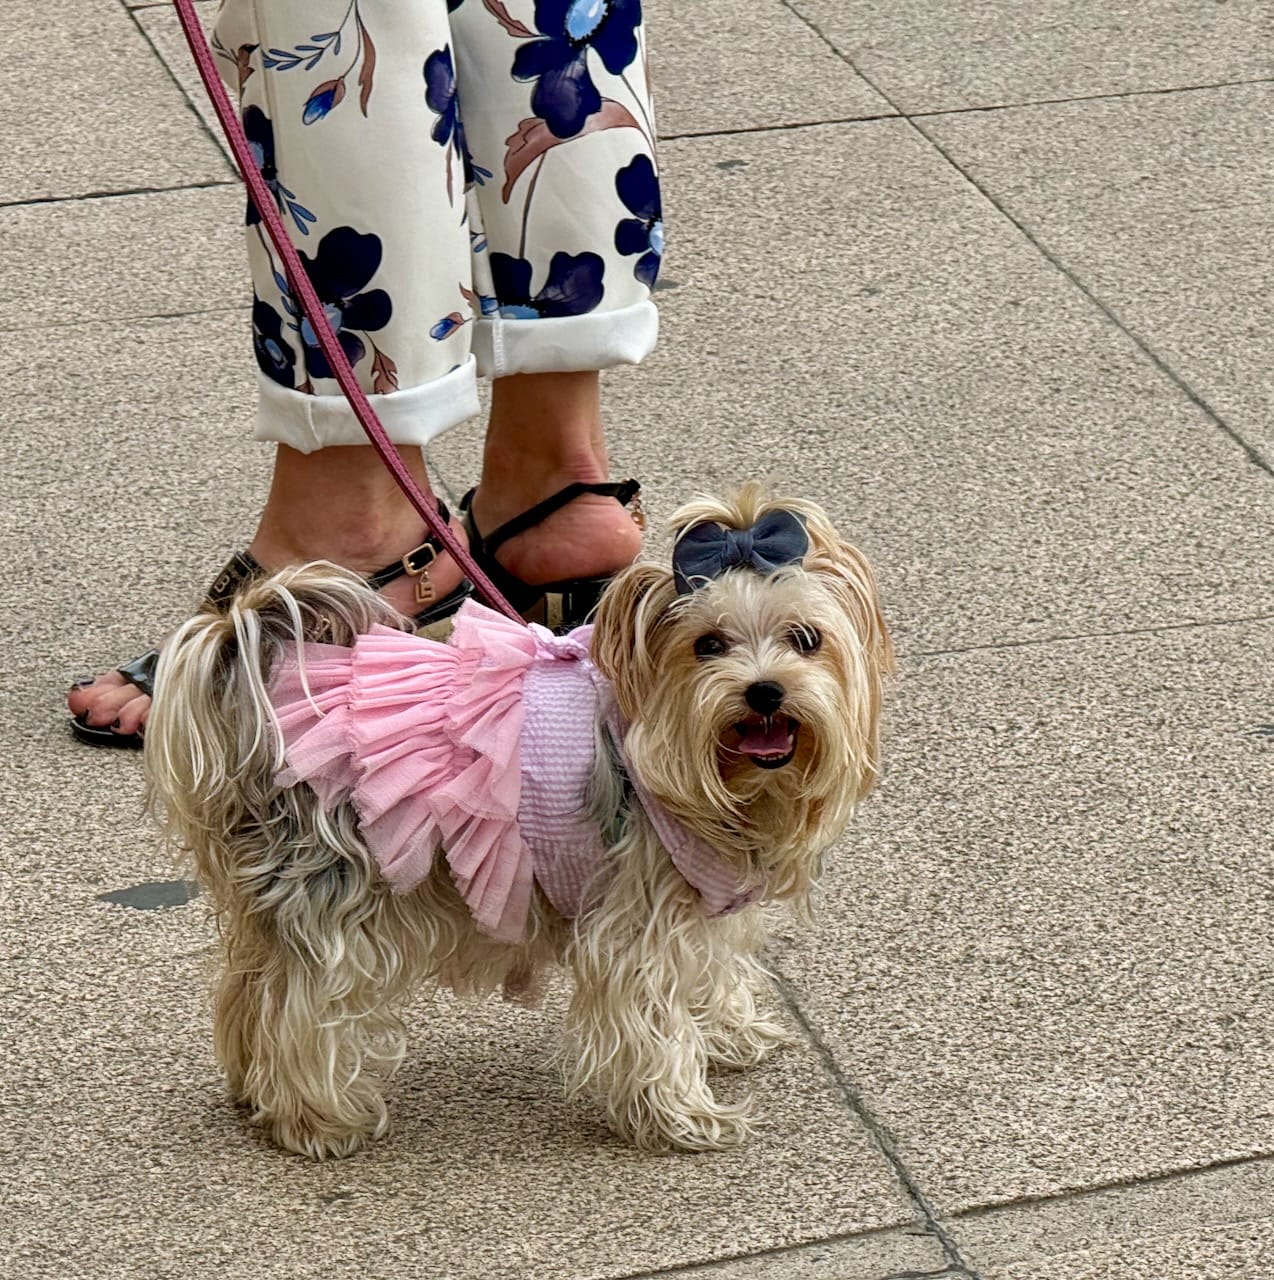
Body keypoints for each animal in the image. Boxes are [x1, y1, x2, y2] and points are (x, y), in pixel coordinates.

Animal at [144, 481, 891, 1162]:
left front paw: (731, 1034)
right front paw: (682, 1115)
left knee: (249, 987)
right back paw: (316, 1120)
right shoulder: (636, 924)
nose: (765, 690)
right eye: (708, 644)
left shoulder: (694, 909)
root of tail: (258, 713)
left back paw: (254, 1090)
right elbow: (651, 1022)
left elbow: (708, 974)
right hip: (338, 907)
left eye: (806, 639)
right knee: (301, 1006)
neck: (719, 778)